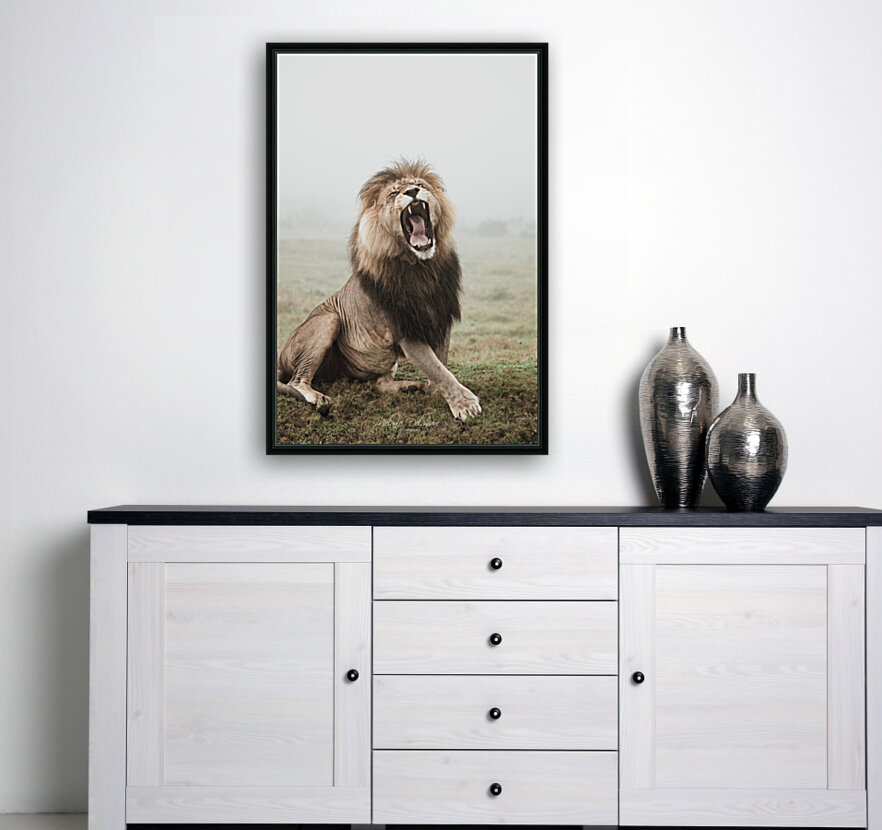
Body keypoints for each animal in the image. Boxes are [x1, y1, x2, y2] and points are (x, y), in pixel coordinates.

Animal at [277, 160, 481, 422]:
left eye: (420, 185)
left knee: (379, 383)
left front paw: (436, 391)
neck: (421, 268)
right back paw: (317, 398)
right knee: (296, 381)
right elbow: (437, 368)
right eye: (394, 193)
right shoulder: (405, 328)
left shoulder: (439, 315)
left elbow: (440, 362)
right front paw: (465, 405)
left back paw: (408, 386)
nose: (412, 192)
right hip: (329, 319)